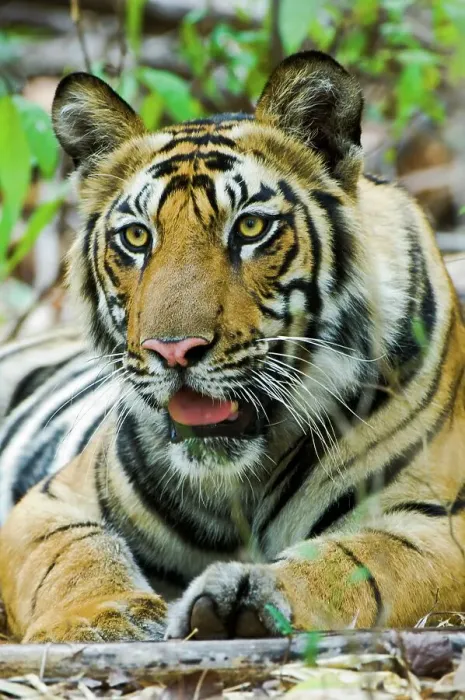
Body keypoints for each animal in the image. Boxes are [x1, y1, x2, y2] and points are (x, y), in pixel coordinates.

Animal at [1, 50, 465, 644]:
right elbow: (73, 557)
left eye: (249, 229)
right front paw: (99, 620)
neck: (238, 485)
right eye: (137, 237)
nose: (174, 351)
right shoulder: (50, 502)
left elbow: (358, 560)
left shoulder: (437, 521)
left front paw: (249, 599)